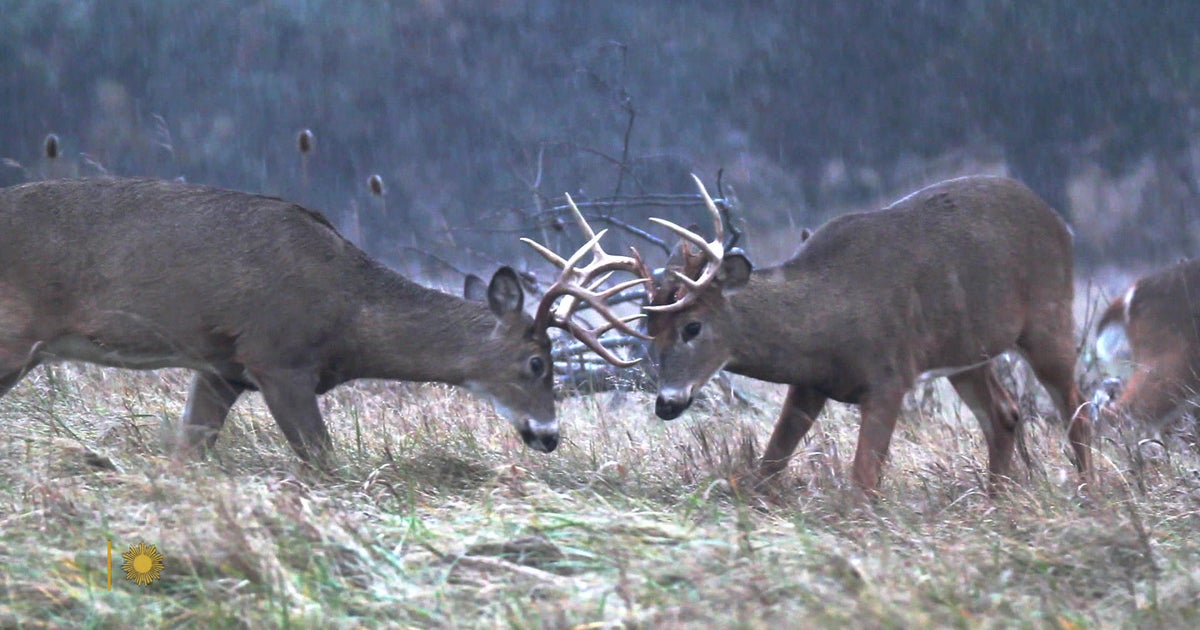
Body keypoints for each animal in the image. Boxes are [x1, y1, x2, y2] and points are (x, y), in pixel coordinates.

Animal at [0, 177, 643, 467]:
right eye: (536, 362)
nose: (550, 435)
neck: (348, 313)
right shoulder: (277, 356)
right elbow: (323, 459)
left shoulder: (222, 367)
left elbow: (191, 448)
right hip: (13, 332)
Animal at [621, 174, 1093, 494]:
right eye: (648, 329)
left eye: (692, 326)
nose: (665, 404)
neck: (829, 316)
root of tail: (1061, 223)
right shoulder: (810, 383)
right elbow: (770, 464)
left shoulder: (890, 375)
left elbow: (863, 480)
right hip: (966, 351)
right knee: (1005, 414)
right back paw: (995, 500)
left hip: (1049, 318)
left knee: (1077, 408)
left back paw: (1088, 492)